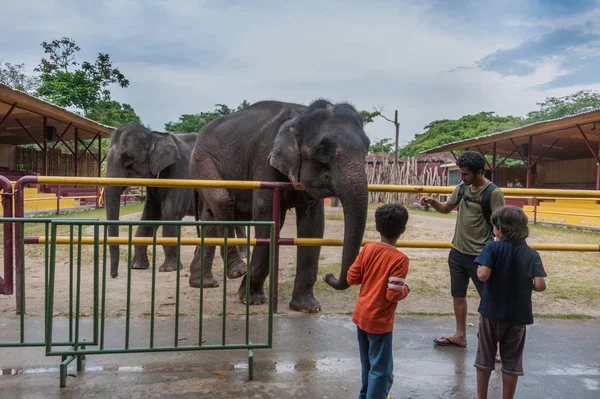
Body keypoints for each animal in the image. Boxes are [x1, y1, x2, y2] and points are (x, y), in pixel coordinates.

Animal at [106, 122, 247, 284]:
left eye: (127, 158)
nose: (114, 275)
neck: (153, 135)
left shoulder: (180, 173)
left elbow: (170, 212)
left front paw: (168, 269)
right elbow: (151, 214)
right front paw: (137, 266)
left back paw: (243, 255)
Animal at [189, 100, 370, 312]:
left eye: (367, 148)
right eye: (323, 150)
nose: (329, 276)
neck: (299, 115)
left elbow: (314, 225)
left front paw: (307, 307)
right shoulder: (265, 160)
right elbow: (267, 217)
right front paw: (250, 299)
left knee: (209, 214)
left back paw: (203, 283)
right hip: (202, 162)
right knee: (222, 202)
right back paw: (237, 270)